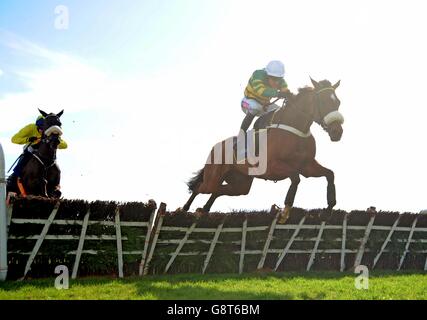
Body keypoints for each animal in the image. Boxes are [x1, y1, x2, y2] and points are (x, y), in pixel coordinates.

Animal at [181, 78, 344, 224]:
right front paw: (284, 213)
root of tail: (216, 146)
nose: (337, 132)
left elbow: (330, 174)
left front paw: (328, 209)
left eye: (338, 102)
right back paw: (183, 209)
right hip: (213, 176)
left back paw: (203, 210)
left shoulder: (306, 166)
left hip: (240, 184)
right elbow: (295, 178)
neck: (295, 129)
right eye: (323, 101)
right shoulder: (272, 167)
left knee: (217, 191)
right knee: (200, 187)